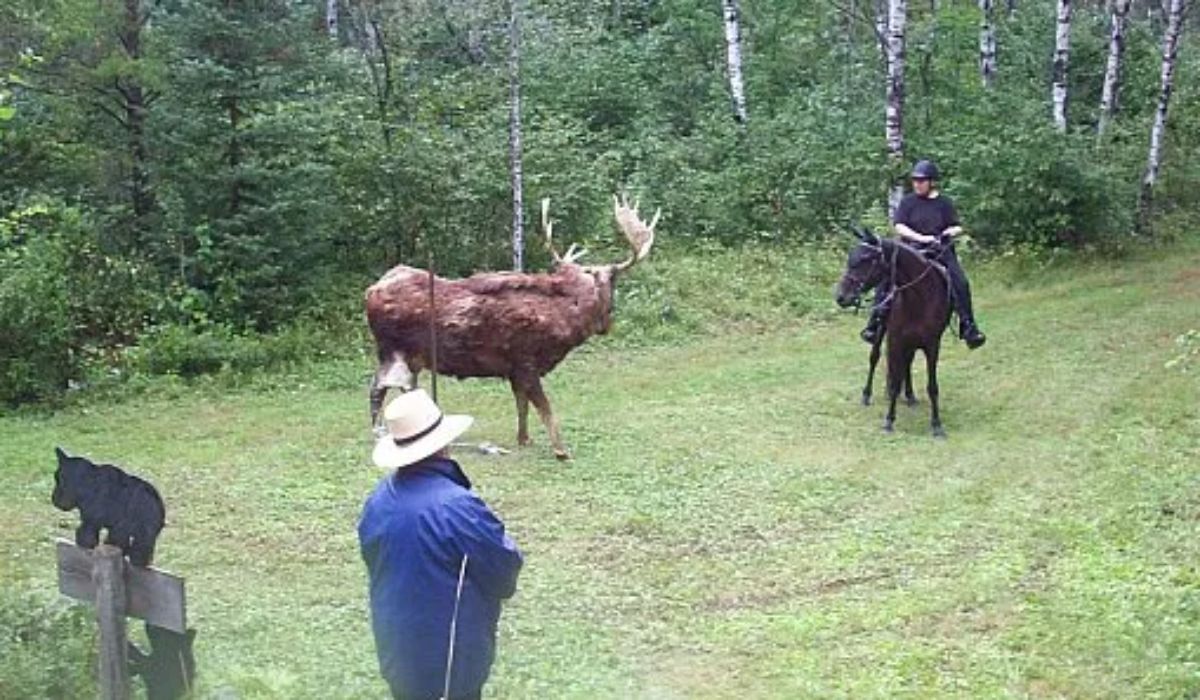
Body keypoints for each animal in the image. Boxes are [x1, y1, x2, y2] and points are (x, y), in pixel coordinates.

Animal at [364, 195, 662, 461]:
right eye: (613, 285)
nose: (607, 325)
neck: (566, 321)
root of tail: (371, 291)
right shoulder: (526, 361)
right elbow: (544, 407)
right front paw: (561, 451)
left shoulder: (514, 369)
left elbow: (522, 405)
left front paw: (524, 439)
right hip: (393, 349)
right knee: (379, 388)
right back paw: (378, 433)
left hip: (410, 358)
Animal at [840, 226, 950, 434]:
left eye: (866, 259)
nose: (840, 296)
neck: (918, 297)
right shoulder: (895, 339)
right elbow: (894, 380)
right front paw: (889, 420)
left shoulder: (932, 344)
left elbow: (932, 386)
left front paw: (937, 425)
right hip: (882, 332)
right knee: (874, 358)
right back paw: (867, 395)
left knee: (907, 363)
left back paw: (910, 396)